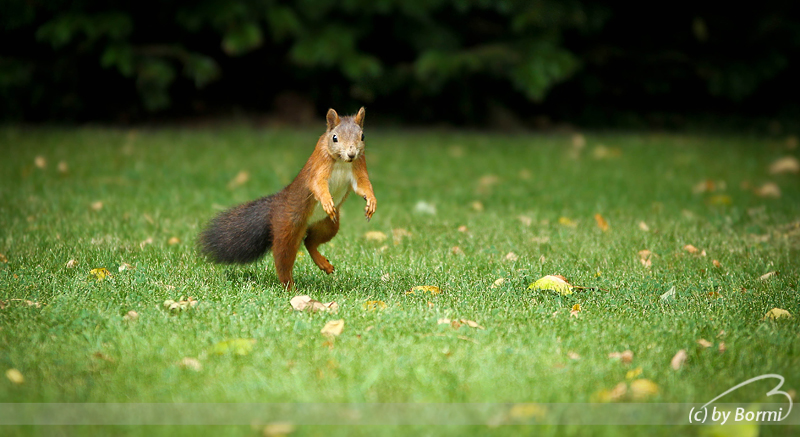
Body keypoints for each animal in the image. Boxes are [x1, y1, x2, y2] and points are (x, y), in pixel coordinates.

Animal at [198, 107, 376, 288]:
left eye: (362, 136)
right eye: (335, 138)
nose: (351, 154)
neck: (342, 162)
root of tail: (276, 204)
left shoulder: (359, 166)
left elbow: (363, 186)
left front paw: (371, 202)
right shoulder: (319, 166)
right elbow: (318, 184)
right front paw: (327, 201)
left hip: (327, 226)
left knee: (309, 242)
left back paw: (322, 263)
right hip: (287, 228)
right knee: (283, 259)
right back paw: (290, 287)